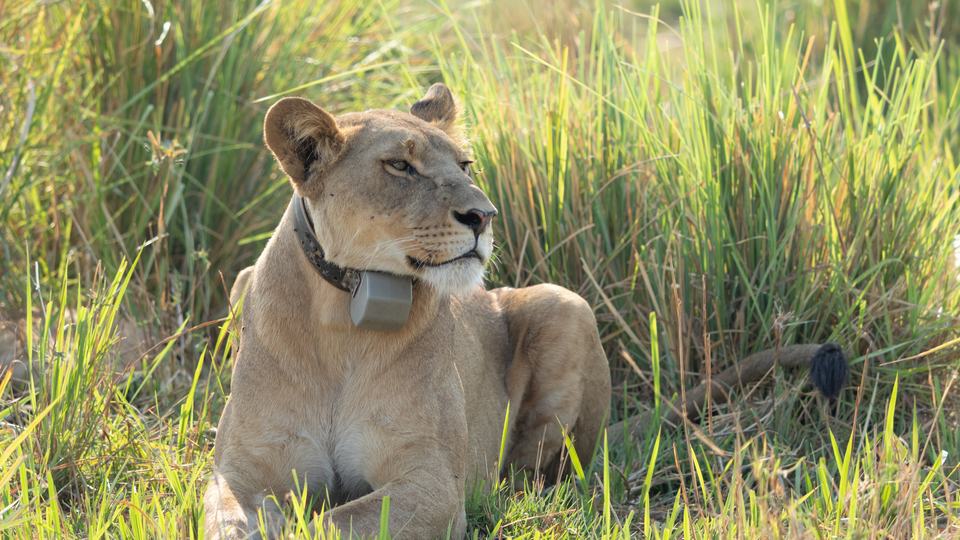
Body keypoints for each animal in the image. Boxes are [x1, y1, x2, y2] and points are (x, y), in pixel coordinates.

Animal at [203, 84, 612, 539]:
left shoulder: (434, 483)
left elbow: (334, 522)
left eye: (465, 166)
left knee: (534, 475)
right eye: (400, 165)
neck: (341, 318)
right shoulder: (240, 471)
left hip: (565, 303)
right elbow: (230, 524)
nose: (484, 216)